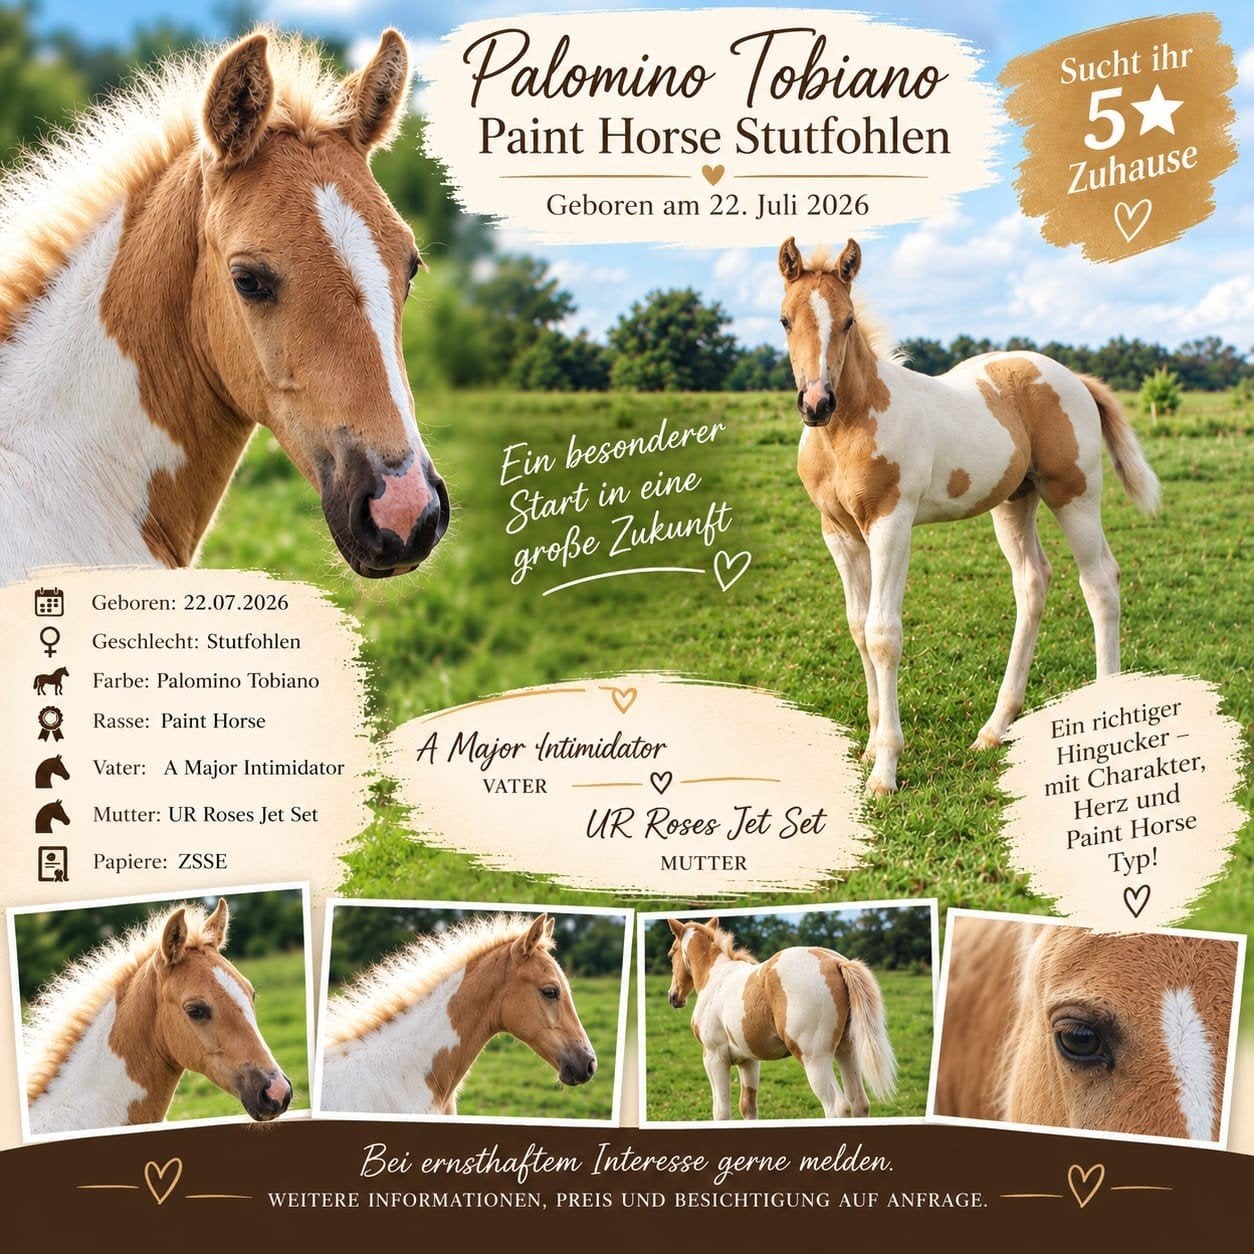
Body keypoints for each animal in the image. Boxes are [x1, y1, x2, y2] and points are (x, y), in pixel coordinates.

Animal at [664, 917, 896, 1120]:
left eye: (670, 954)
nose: (673, 996)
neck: (714, 978)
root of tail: (835, 962)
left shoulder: (714, 1057)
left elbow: (721, 1113)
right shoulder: (748, 1060)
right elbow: (748, 1107)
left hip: (814, 1058)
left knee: (837, 1106)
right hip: (846, 1050)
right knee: (859, 1103)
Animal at [777, 238, 1160, 794]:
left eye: (847, 321)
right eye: (785, 319)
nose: (816, 403)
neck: (847, 428)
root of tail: (1073, 377)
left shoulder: (892, 524)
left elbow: (883, 634)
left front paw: (885, 771)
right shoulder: (841, 535)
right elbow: (858, 628)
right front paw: (870, 747)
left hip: (1075, 494)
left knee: (1100, 584)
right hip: (1014, 502)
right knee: (1033, 583)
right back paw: (994, 729)